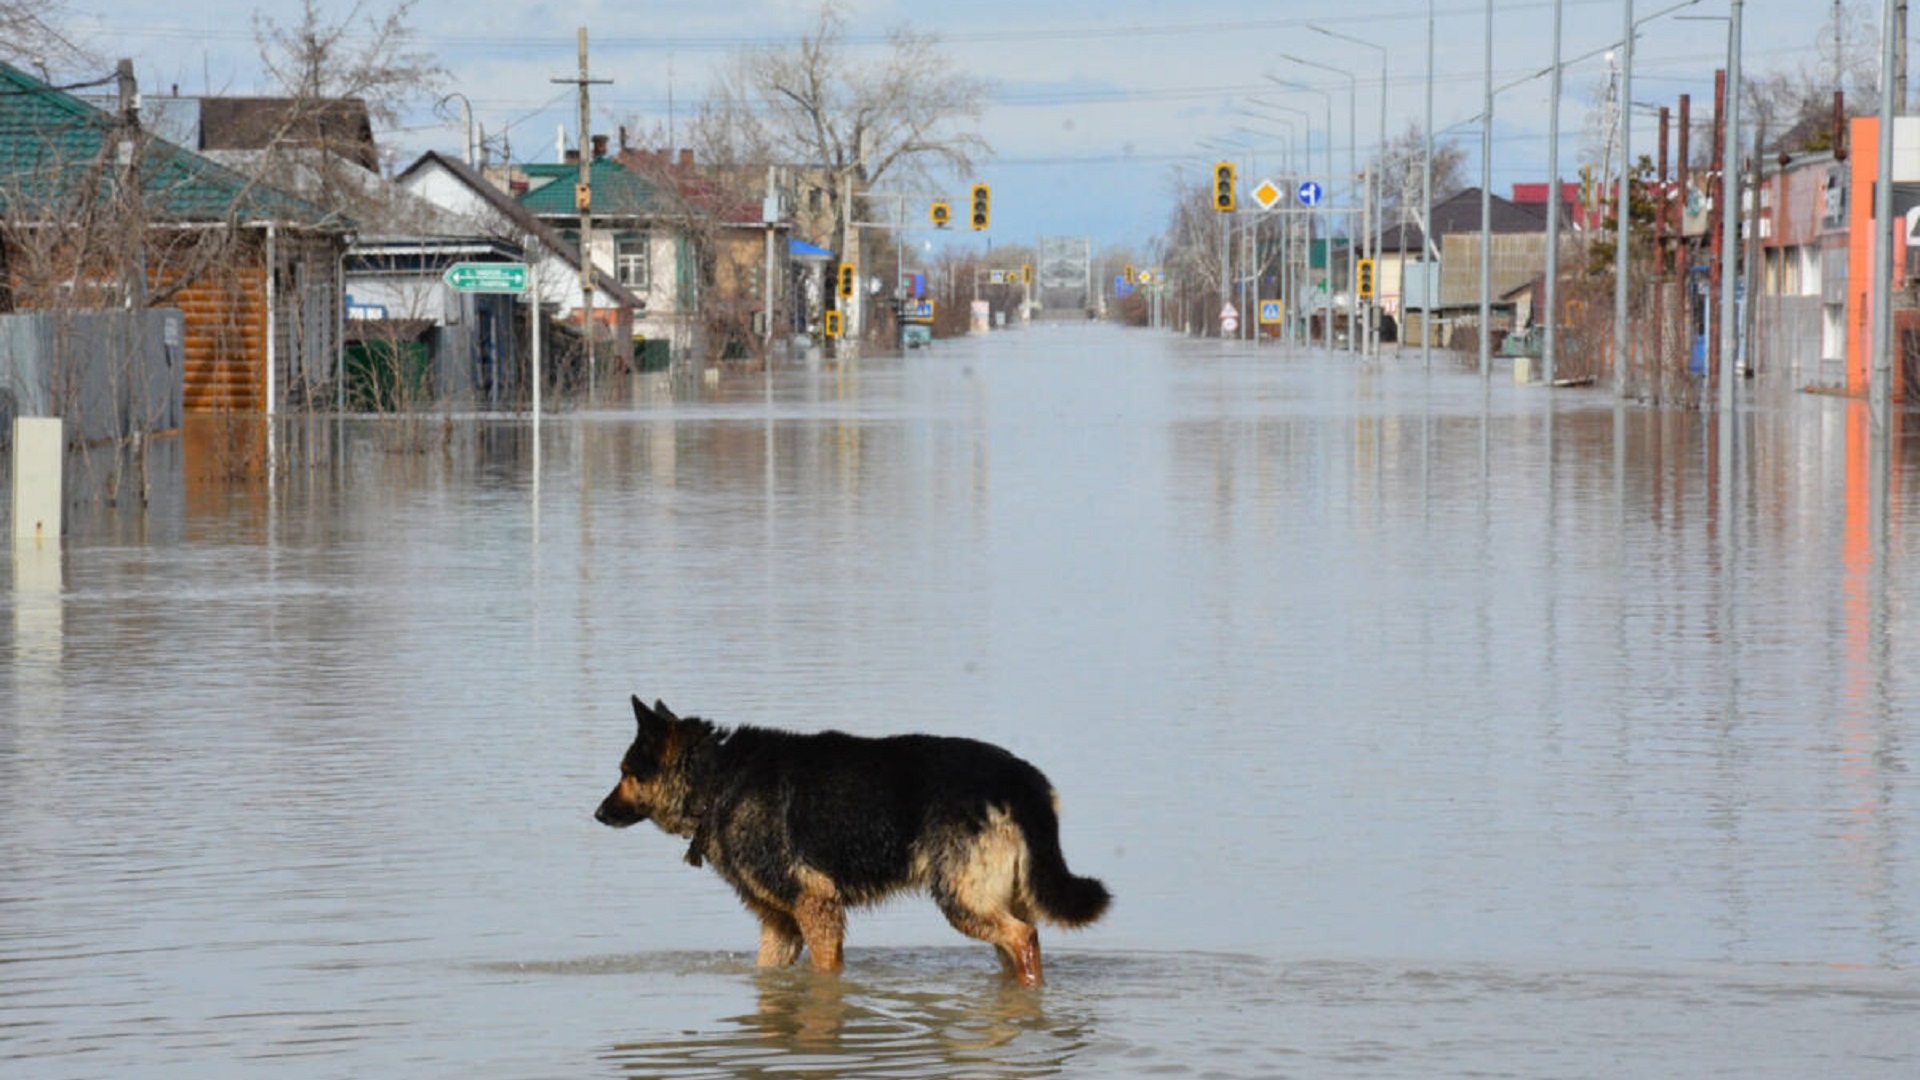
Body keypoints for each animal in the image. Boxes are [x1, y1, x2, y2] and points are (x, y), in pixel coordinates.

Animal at [595, 687, 1113, 983]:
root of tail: (1023, 779)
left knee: (1024, 938)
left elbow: (825, 975)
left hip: (963, 900)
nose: (598, 814)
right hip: (998, 897)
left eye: (625, 772)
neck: (718, 778)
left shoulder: (817, 905)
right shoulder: (781, 926)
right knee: (1021, 941)